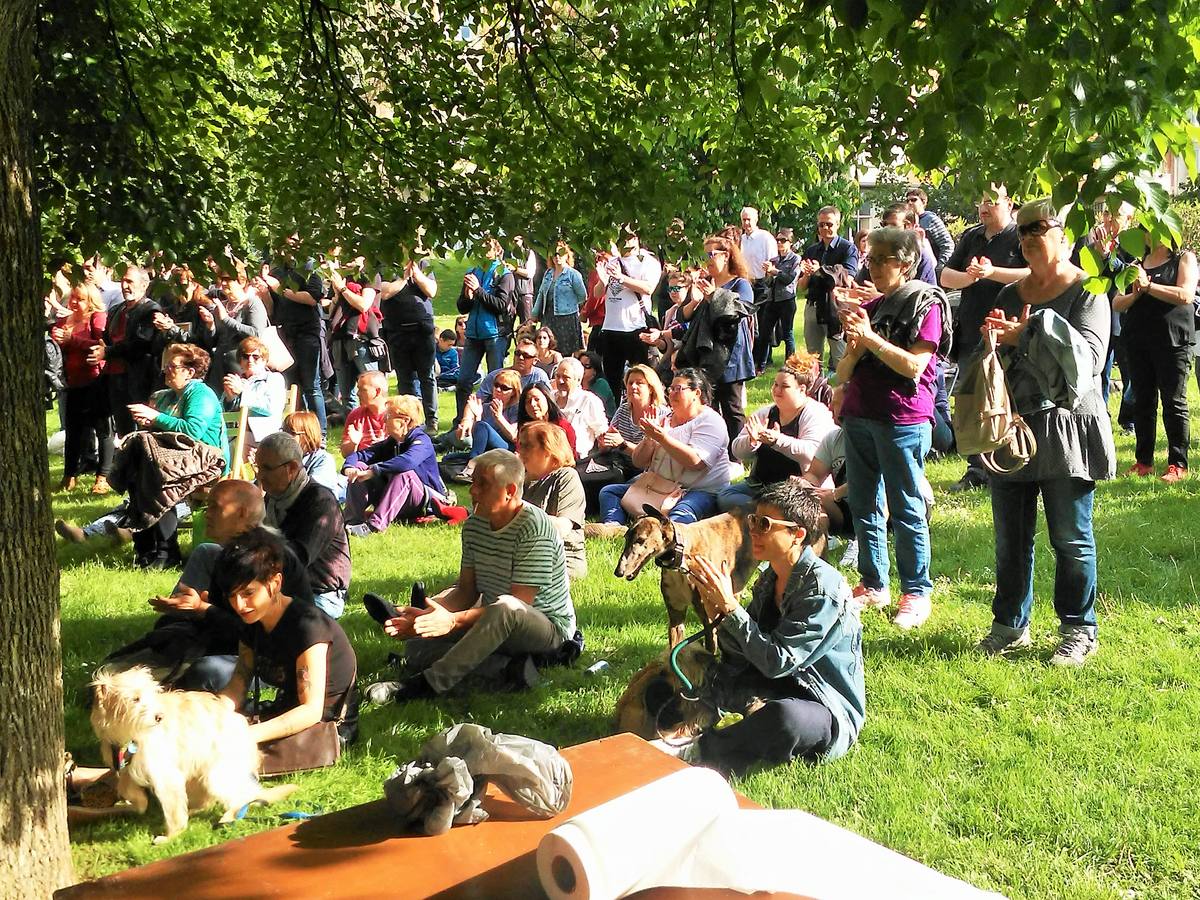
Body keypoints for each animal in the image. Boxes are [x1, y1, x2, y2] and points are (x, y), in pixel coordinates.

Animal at [88, 667, 295, 844]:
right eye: (135, 699)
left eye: (153, 695)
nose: (159, 717)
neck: (131, 735)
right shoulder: (124, 767)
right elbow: (127, 788)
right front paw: (140, 804)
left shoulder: (166, 775)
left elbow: (172, 810)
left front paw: (171, 835)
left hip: (217, 773)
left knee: (243, 796)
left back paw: (230, 815)